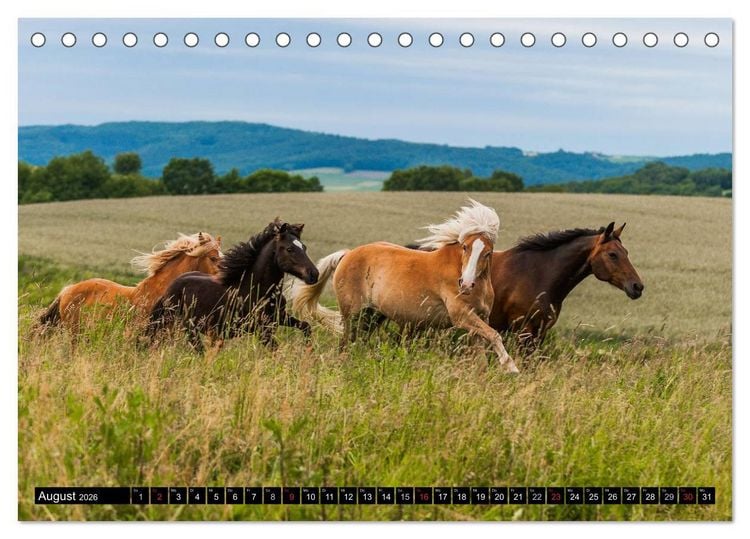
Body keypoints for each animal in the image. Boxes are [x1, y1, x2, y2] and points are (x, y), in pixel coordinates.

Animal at [145, 219, 319, 354]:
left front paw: (309, 352)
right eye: (290, 249)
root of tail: (171, 287)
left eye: (304, 247)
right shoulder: (261, 329)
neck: (257, 289)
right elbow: (276, 350)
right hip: (188, 326)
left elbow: (306, 326)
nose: (314, 274)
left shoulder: (279, 318)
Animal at [291, 200, 519, 373]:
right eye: (465, 247)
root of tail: (347, 254)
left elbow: (483, 351)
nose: (466, 284)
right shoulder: (462, 316)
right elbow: (494, 335)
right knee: (346, 344)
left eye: (488, 253)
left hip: (372, 316)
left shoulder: (479, 319)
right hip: (352, 315)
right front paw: (511, 367)